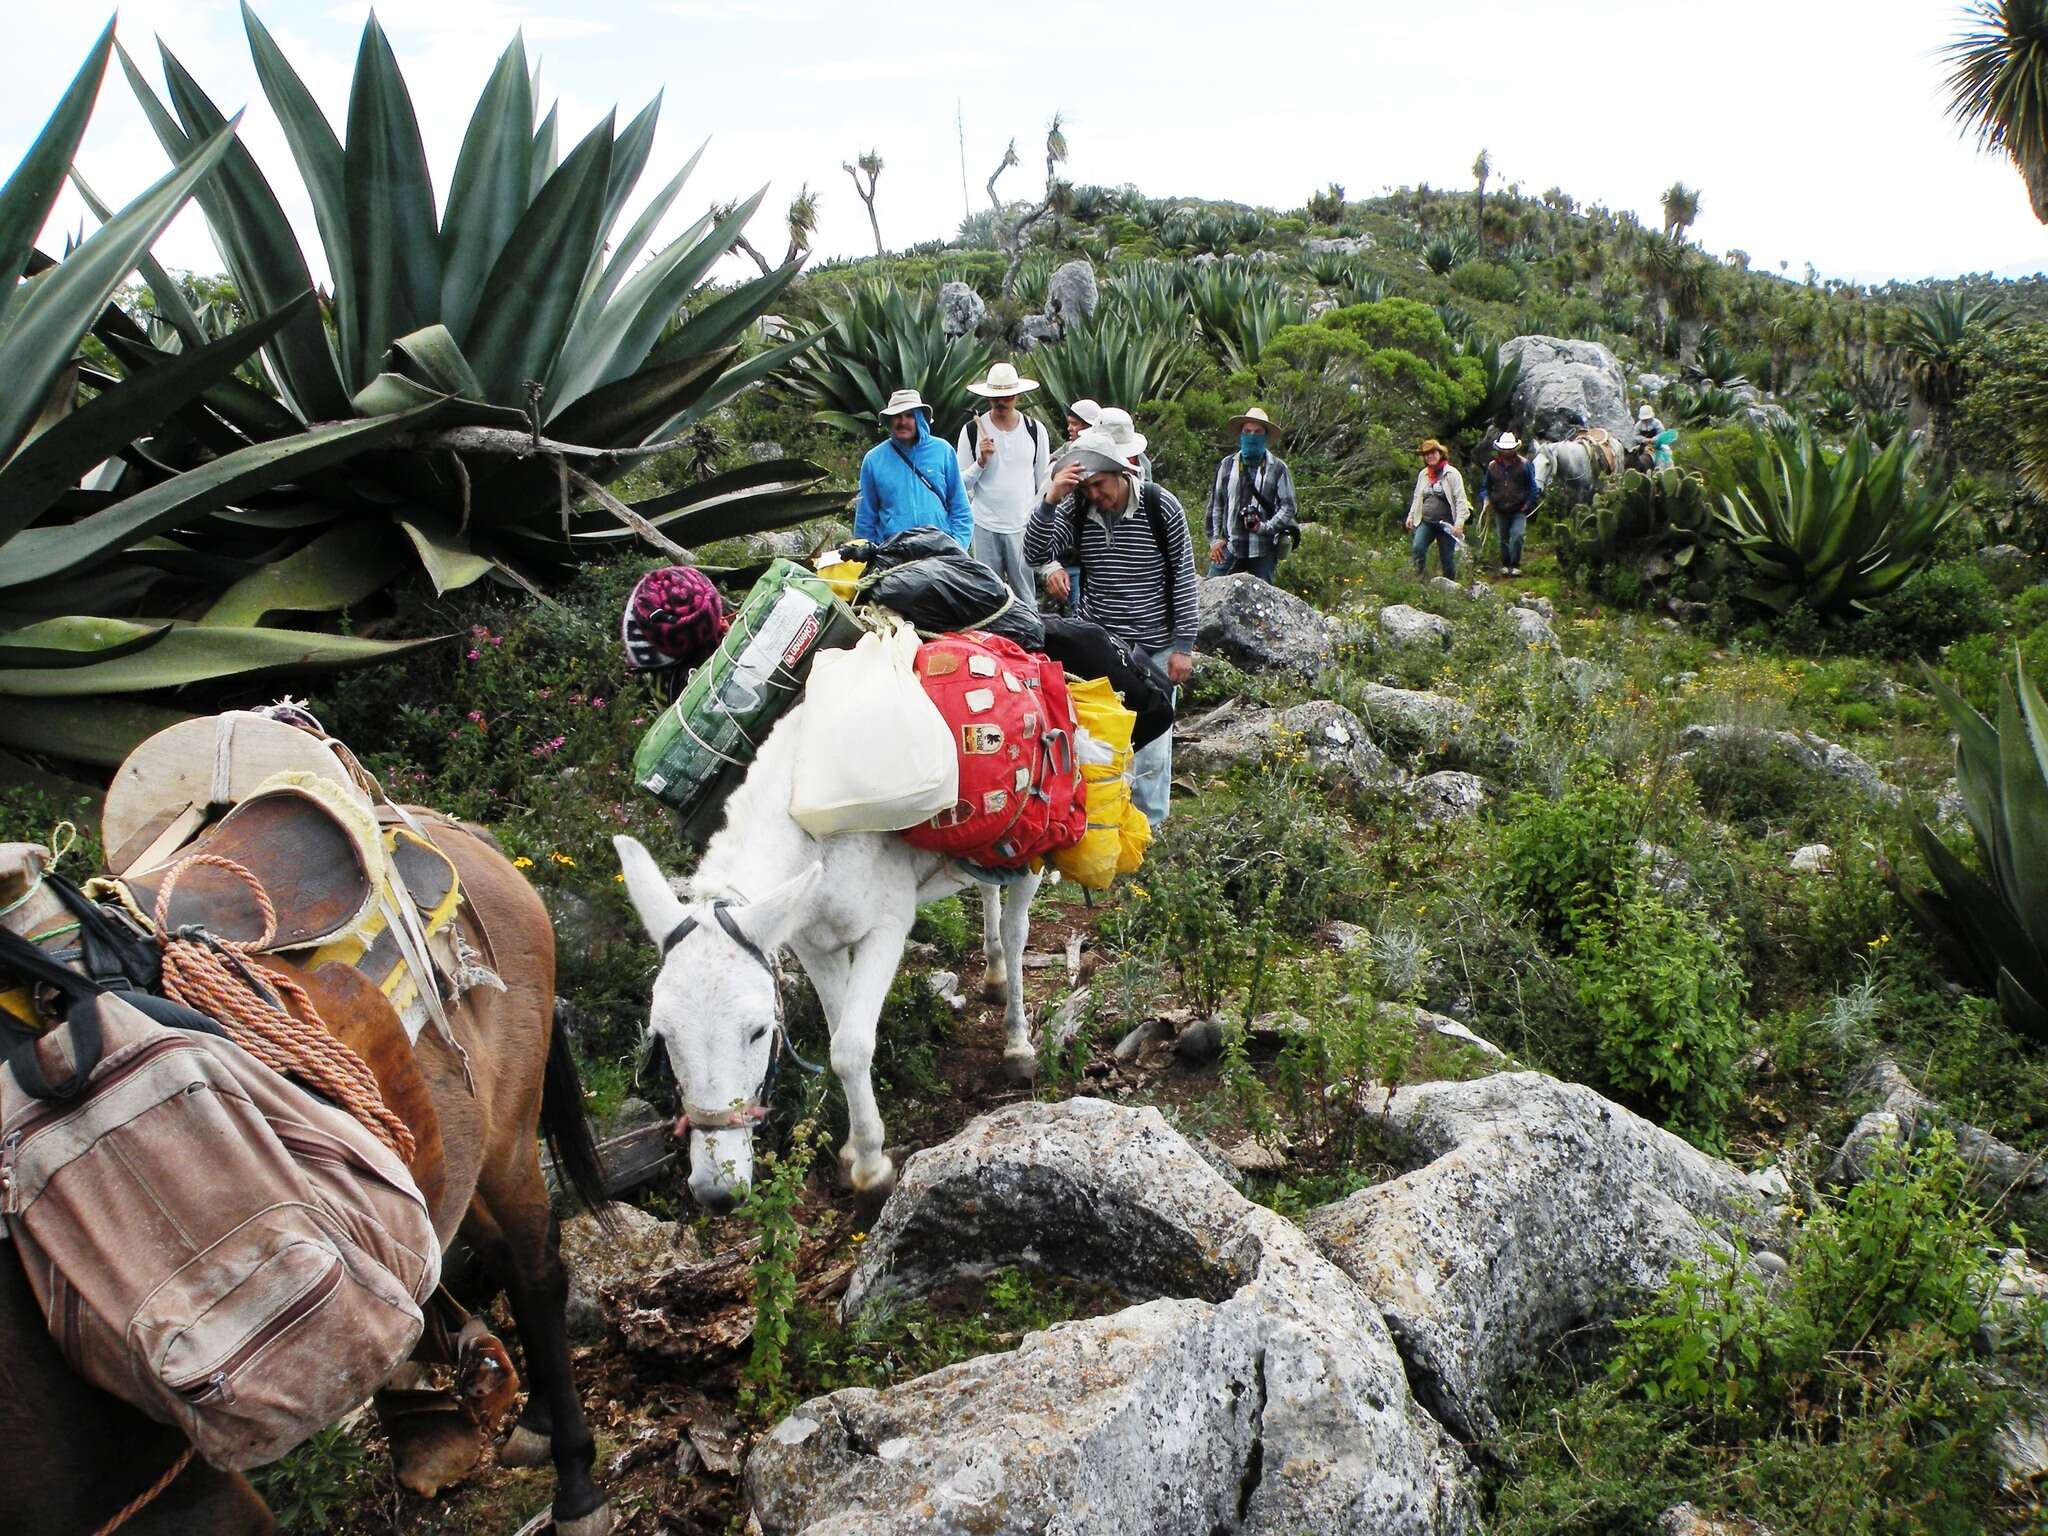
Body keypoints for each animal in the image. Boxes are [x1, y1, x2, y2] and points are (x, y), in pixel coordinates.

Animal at [4, 819, 618, 1536]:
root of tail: (442, 823)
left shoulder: (172, 1495)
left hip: (510, 1134)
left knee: (536, 1272)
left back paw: (575, 1483)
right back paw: (534, 1419)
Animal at [610, 696, 1040, 1212]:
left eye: (759, 1032)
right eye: (663, 1035)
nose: (717, 1194)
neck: (813, 834)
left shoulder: (885, 929)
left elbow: (851, 1048)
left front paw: (871, 1170)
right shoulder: (813, 944)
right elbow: (837, 1037)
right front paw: (854, 1146)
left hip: (1035, 849)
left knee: (1017, 931)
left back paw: (1018, 1043)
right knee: (987, 888)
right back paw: (993, 974)